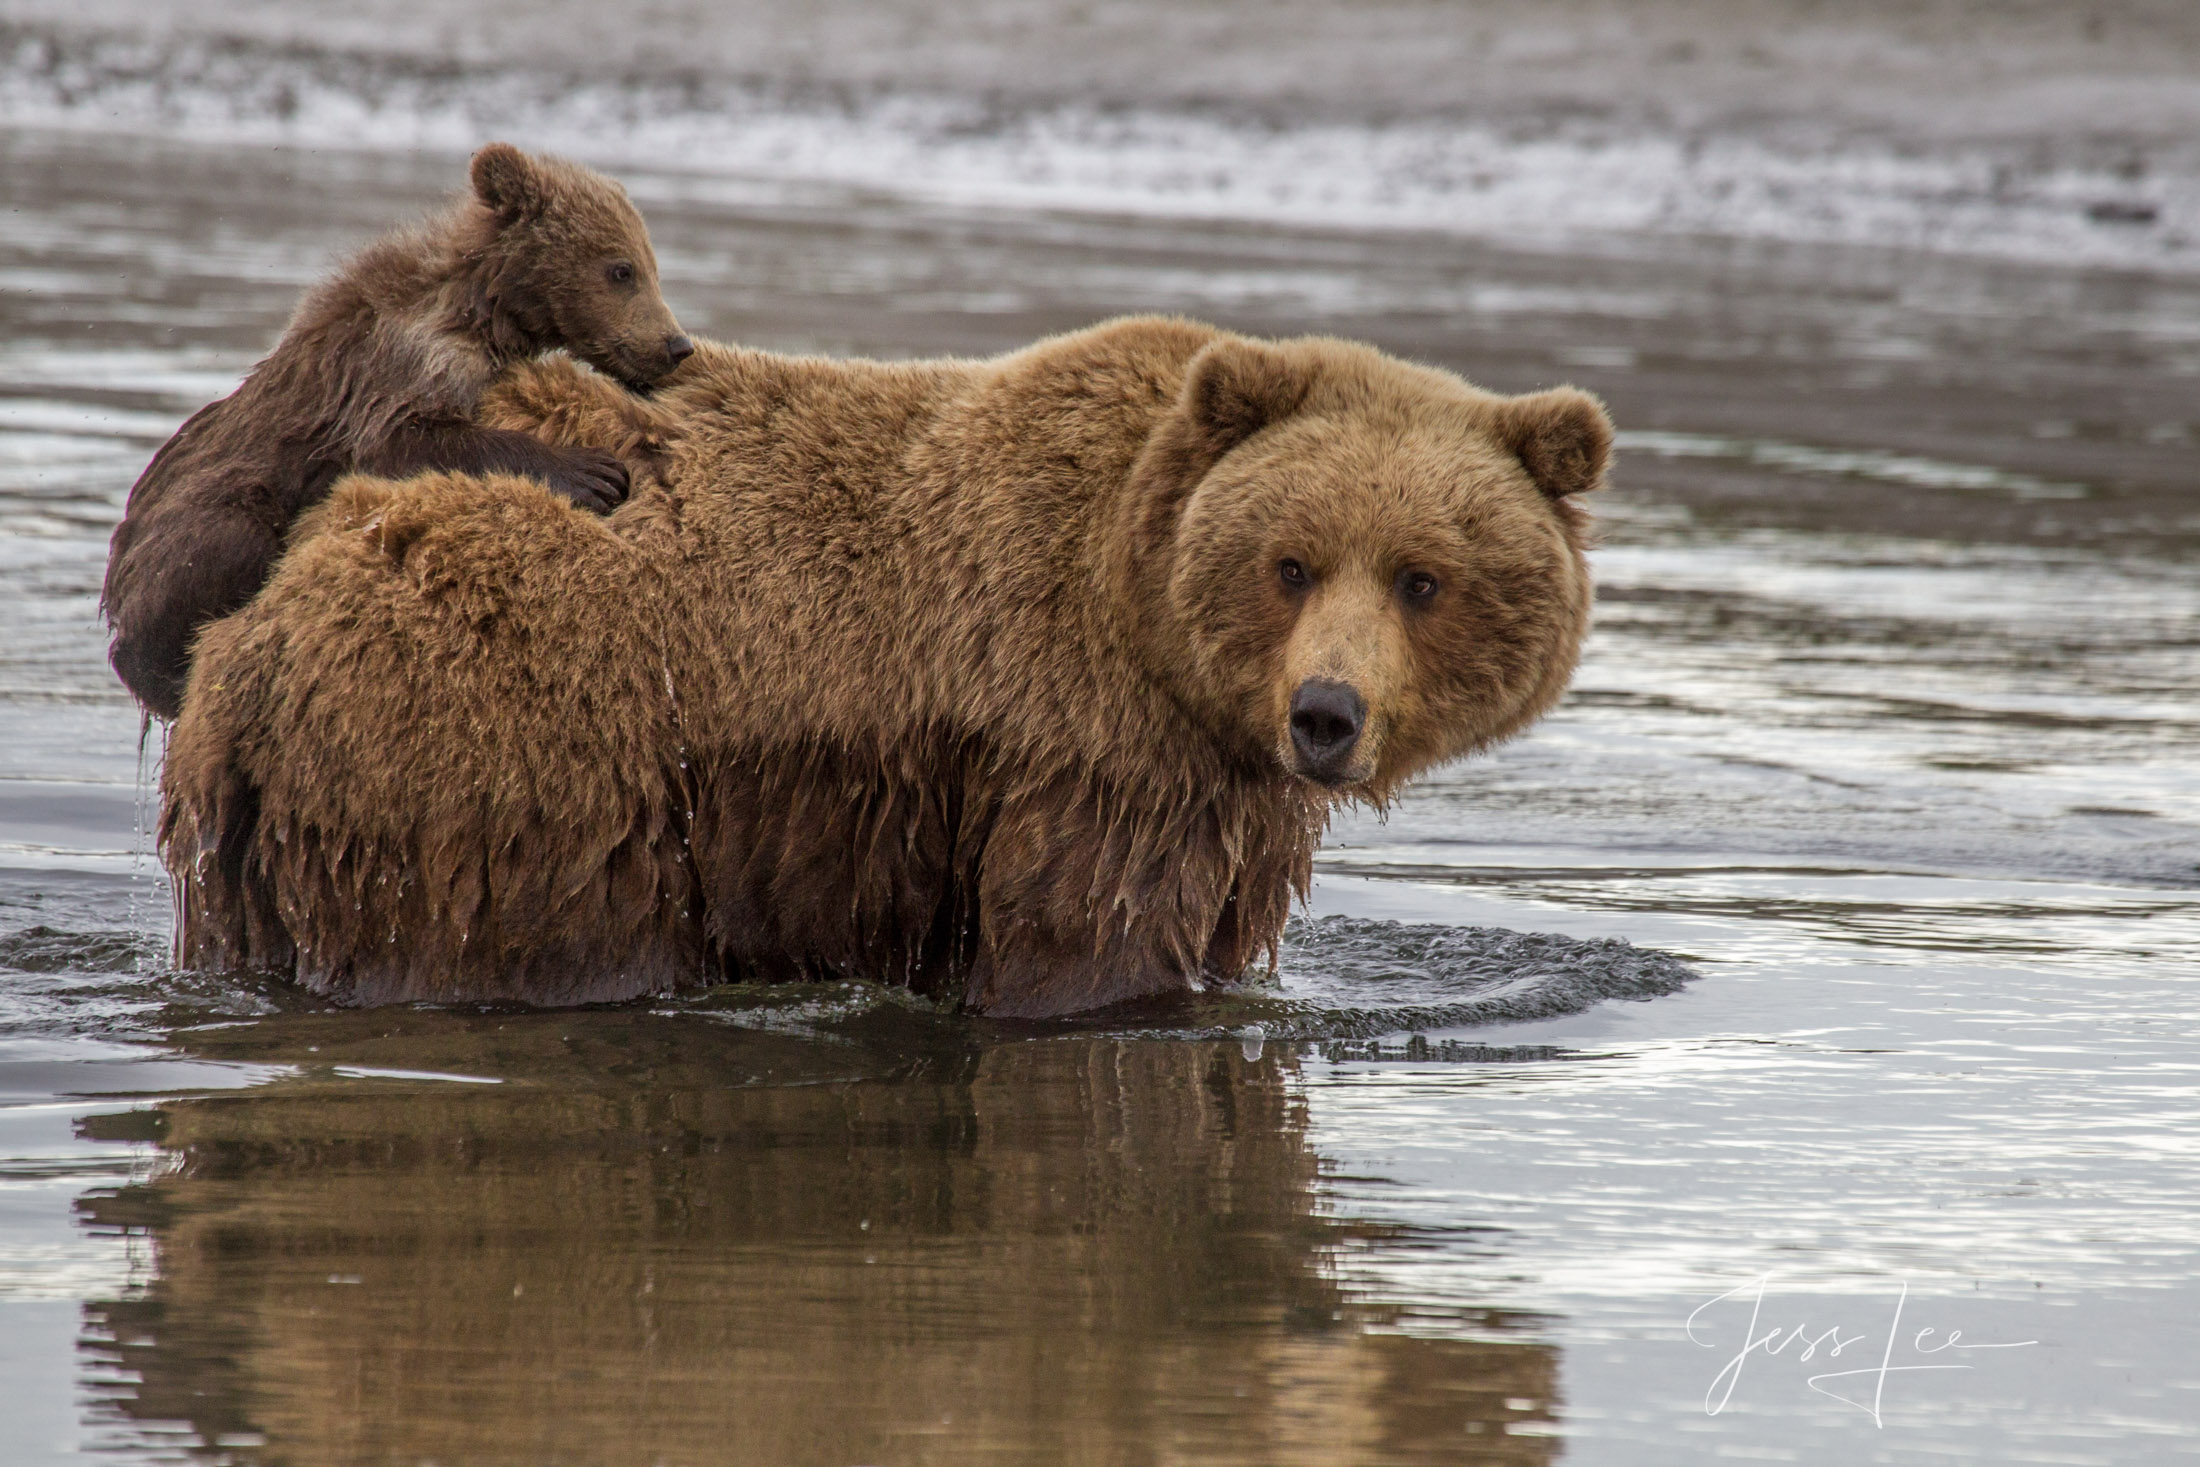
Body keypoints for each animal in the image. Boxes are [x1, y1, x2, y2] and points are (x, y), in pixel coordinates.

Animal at [99, 142, 686, 721]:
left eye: (651, 265)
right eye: (621, 269)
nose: (676, 344)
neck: (482, 311)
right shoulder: (397, 363)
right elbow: (408, 440)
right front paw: (594, 472)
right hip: (191, 521)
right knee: (221, 544)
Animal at [162, 316, 1610, 1016]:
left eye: (1424, 576)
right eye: (1293, 560)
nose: (1326, 714)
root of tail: (254, 639)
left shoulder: (1215, 791)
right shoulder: (1082, 742)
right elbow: (1085, 944)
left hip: (263, 844)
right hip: (510, 736)